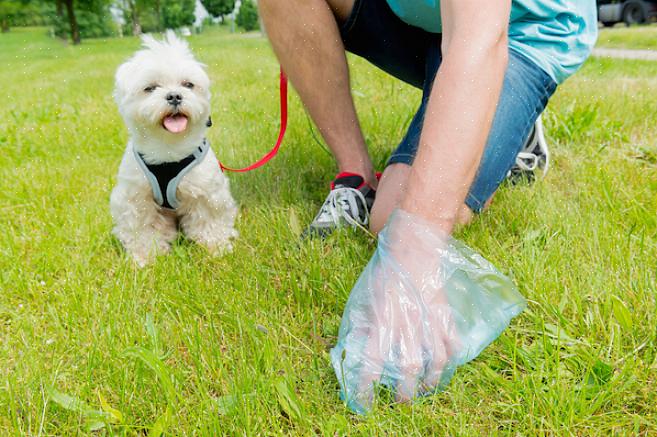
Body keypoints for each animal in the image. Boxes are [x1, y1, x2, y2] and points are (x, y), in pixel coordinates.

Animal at [109, 31, 236, 266]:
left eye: (188, 84)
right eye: (150, 88)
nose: (175, 95)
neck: (168, 148)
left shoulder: (207, 191)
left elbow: (210, 221)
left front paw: (216, 247)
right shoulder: (135, 198)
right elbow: (141, 229)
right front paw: (145, 257)